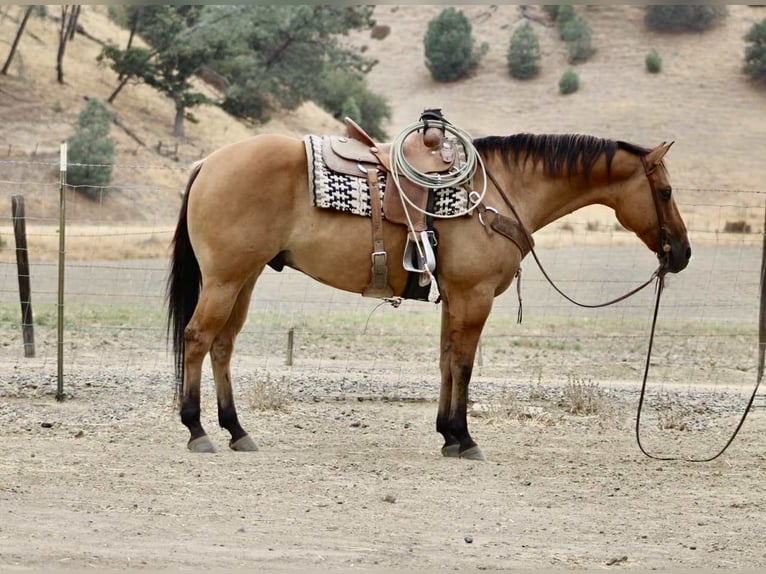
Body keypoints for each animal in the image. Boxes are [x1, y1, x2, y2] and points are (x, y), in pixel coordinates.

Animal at [167, 130, 691, 460]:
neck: (497, 193)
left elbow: (445, 362)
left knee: (222, 345)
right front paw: (465, 437)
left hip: (245, 278)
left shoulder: (456, 298)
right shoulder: (475, 296)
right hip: (225, 279)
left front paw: (447, 436)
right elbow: (463, 364)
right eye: (665, 192)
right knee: (197, 338)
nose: (682, 253)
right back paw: (196, 429)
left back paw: (237, 430)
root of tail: (208, 162)